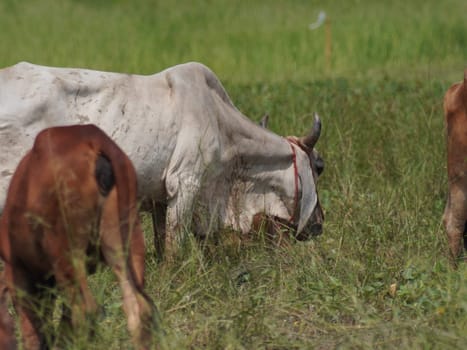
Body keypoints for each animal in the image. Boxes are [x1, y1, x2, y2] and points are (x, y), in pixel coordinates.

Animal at [0, 60, 326, 260]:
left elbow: (159, 243)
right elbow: (173, 247)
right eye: (319, 167)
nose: (319, 224)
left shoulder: (159, 197)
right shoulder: (185, 183)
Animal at [0, 124, 157, 348]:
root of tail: (92, 137)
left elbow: (33, 334)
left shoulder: (19, 275)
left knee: (87, 311)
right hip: (127, 237)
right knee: (137, 307)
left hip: (66, 253)